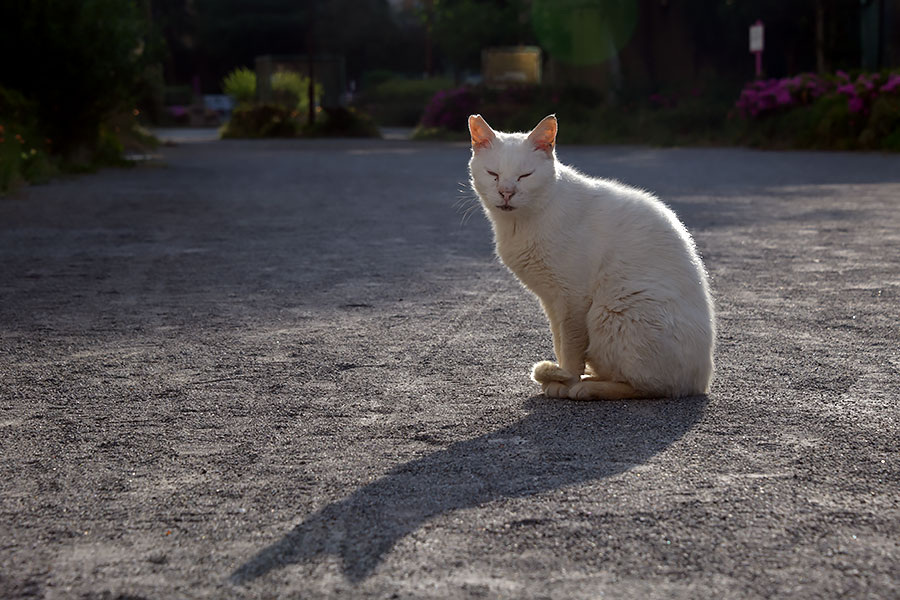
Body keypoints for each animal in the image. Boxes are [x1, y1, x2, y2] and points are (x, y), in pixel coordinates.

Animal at [468, 115, 712, 400]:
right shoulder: (552, 301)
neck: (519, 223)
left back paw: (587, 387)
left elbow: (571, 347)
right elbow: (560, 342)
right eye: (493, 174)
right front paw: (561, 376)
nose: (506, 192)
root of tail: (701, 382)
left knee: (648, 387)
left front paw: (566, 380)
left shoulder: (573, 299)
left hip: (611, 309)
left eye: (525, 175)